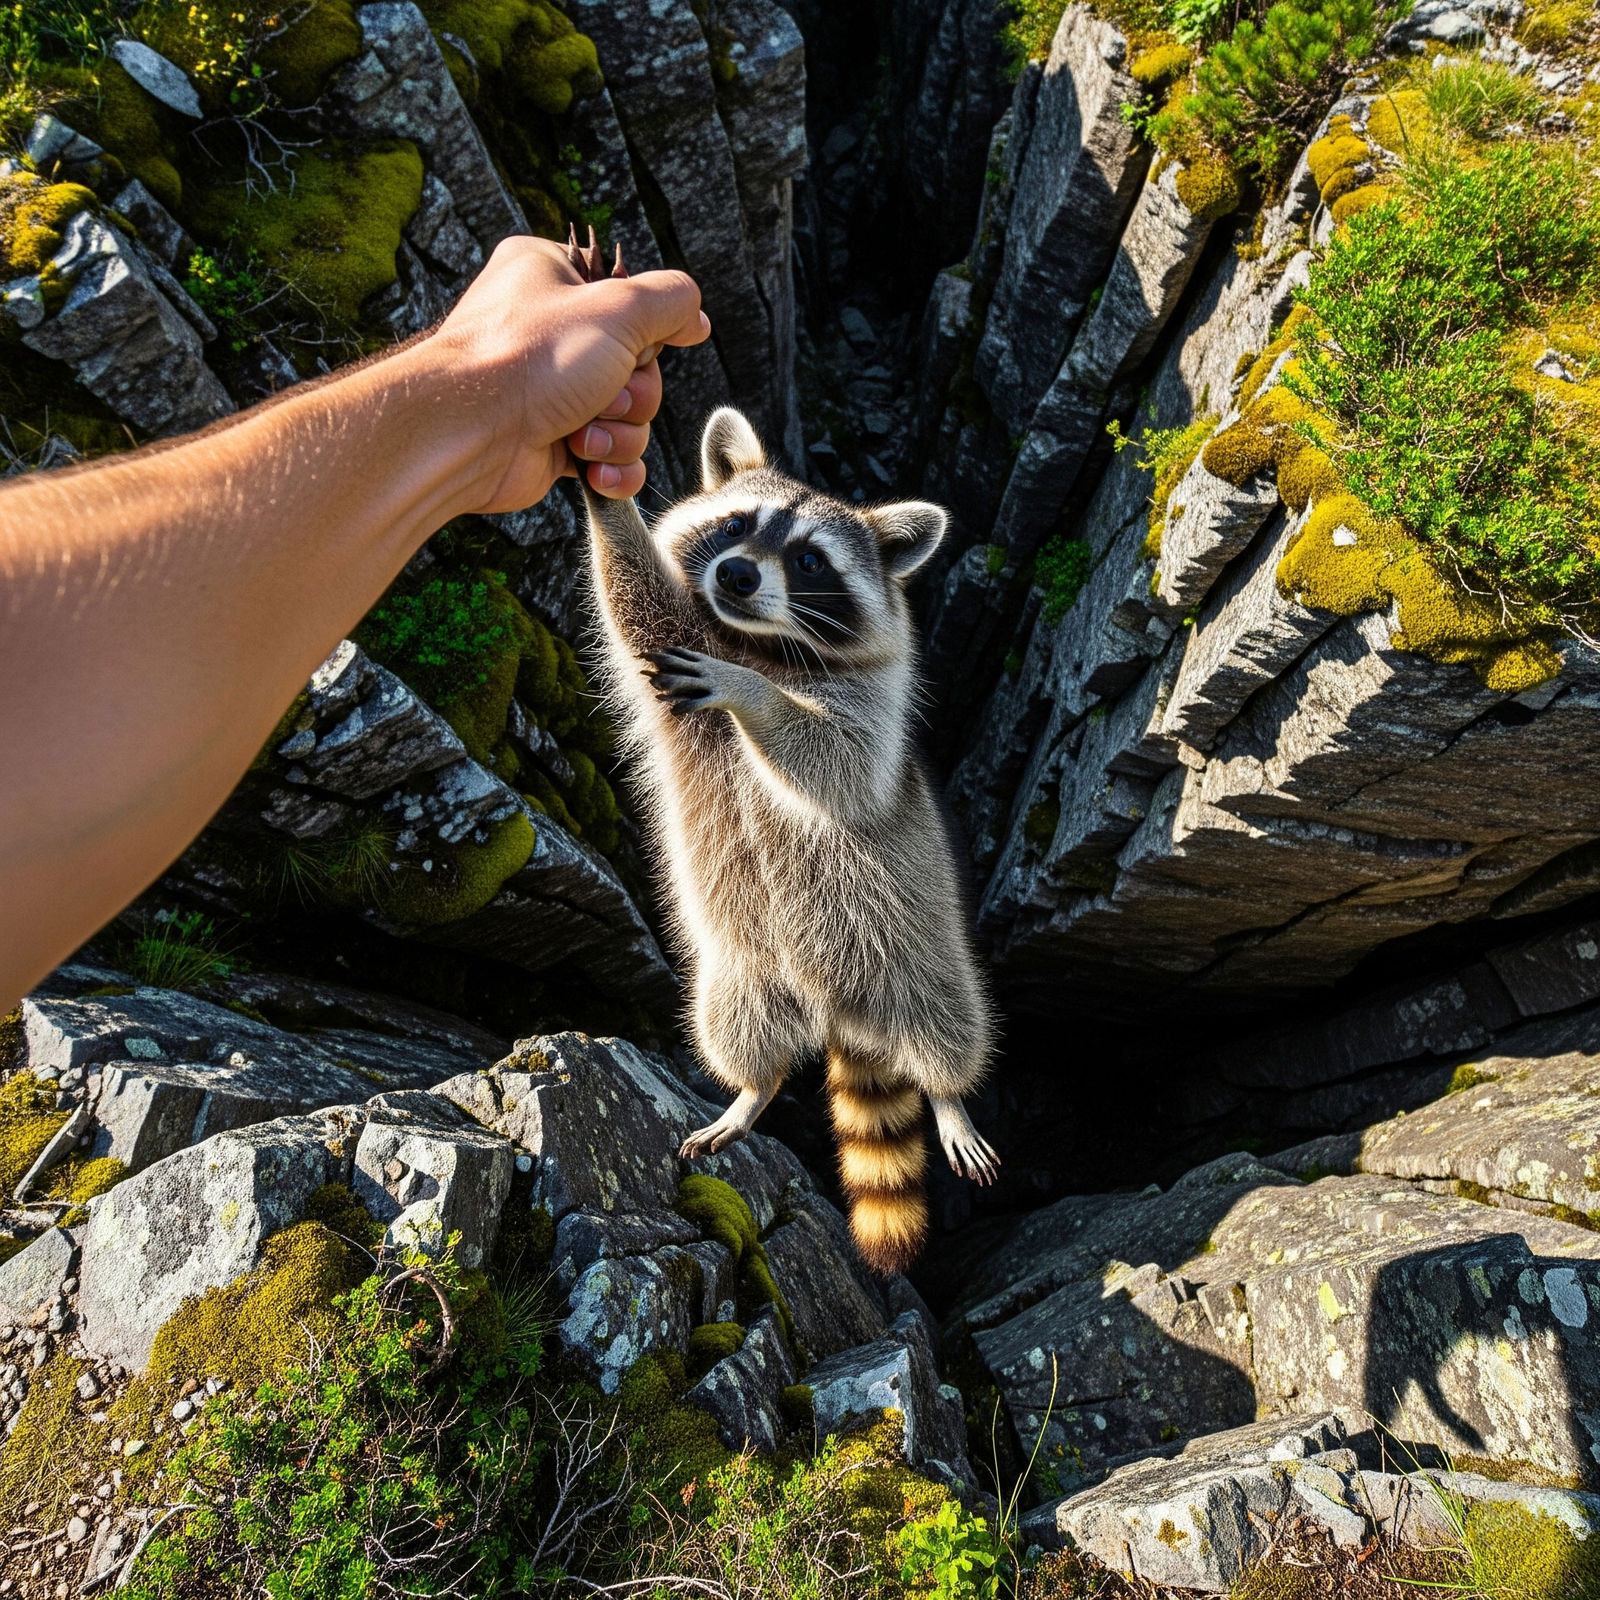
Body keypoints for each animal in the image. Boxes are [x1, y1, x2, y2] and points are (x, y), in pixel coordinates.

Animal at [581, 407, 998, 1273]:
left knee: (947, 1025)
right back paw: (752, 1091)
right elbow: (633, 601)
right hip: (742, 973)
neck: (756, 639)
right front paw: (606, 491)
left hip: (919, 957)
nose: (737, 575)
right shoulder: (674, 647)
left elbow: (837, 764)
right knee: (738, 1030)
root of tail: (843, 1018)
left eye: (809, 559)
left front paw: (756, 698)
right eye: (737, 524)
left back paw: (950, 1096)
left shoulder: (870, 711)